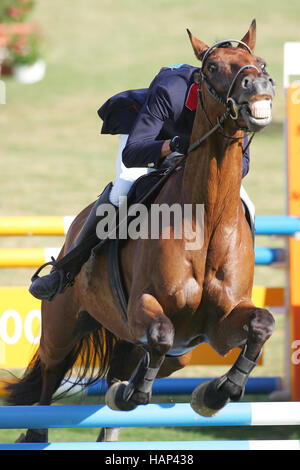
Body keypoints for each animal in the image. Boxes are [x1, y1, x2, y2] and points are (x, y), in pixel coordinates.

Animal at [5, 19, 276, 444]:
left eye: (260, 62)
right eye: (213, 66)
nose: (259, 84)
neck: (207, 220)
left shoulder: (220, 323)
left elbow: (262, 325)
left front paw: (215, 393)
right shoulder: (141, 306)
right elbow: (161, 332)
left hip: (177, 355)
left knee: (132, 364)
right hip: (62, 325)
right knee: (51, 373)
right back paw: (38, 432)